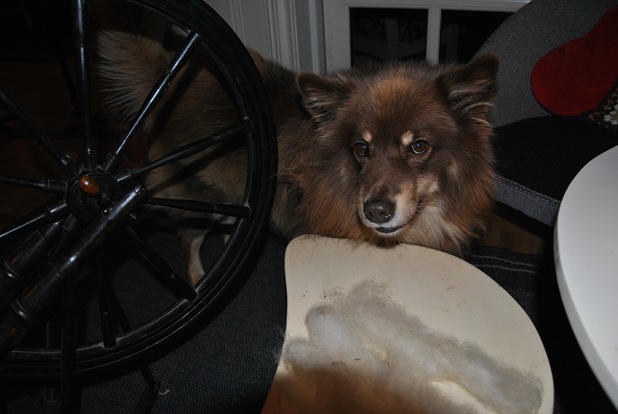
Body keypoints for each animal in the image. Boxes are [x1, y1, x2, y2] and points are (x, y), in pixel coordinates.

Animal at [96, 23, 498, 284]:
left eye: (418, 146)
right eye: (361, 148)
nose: (376, 211)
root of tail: (175, 76)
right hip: (200, 197)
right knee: (188, 238)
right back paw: (197, 278)